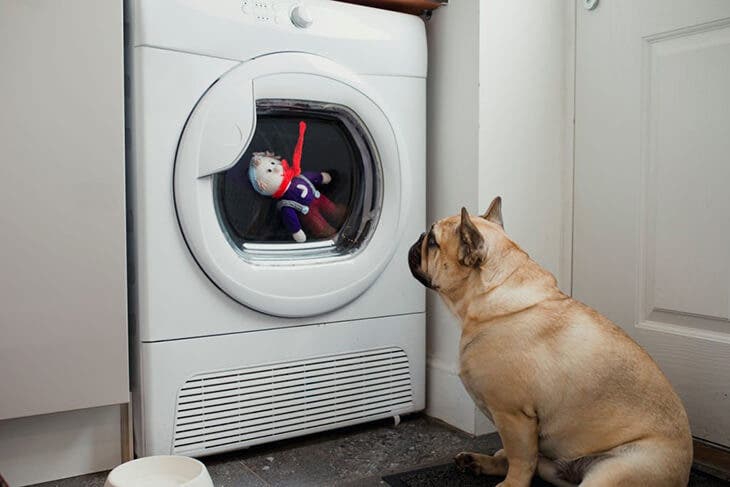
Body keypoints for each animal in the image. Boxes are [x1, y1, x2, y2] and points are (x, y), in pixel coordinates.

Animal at [406, 196, 692, 486]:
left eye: (433, 241)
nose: (418, 236)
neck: (492, 293)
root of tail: (683, 474)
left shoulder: (513, 416)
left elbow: (521, 459)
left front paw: (512, 484)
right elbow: (516, 456)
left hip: (612, 473)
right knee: (516, 459)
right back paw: (477, 461)